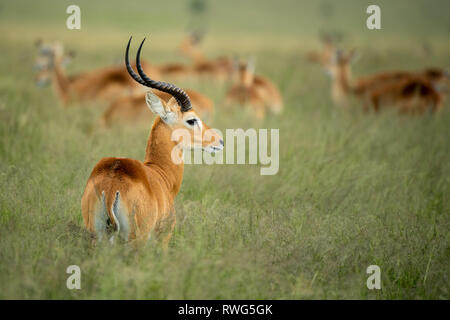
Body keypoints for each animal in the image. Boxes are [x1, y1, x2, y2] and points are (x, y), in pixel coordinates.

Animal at [82, 38, 223, 248]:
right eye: (191, 120)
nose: (219, 141)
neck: (160, 174)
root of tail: (112, 184)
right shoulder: (163, 238)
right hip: (136, 240)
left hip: (94, 237)